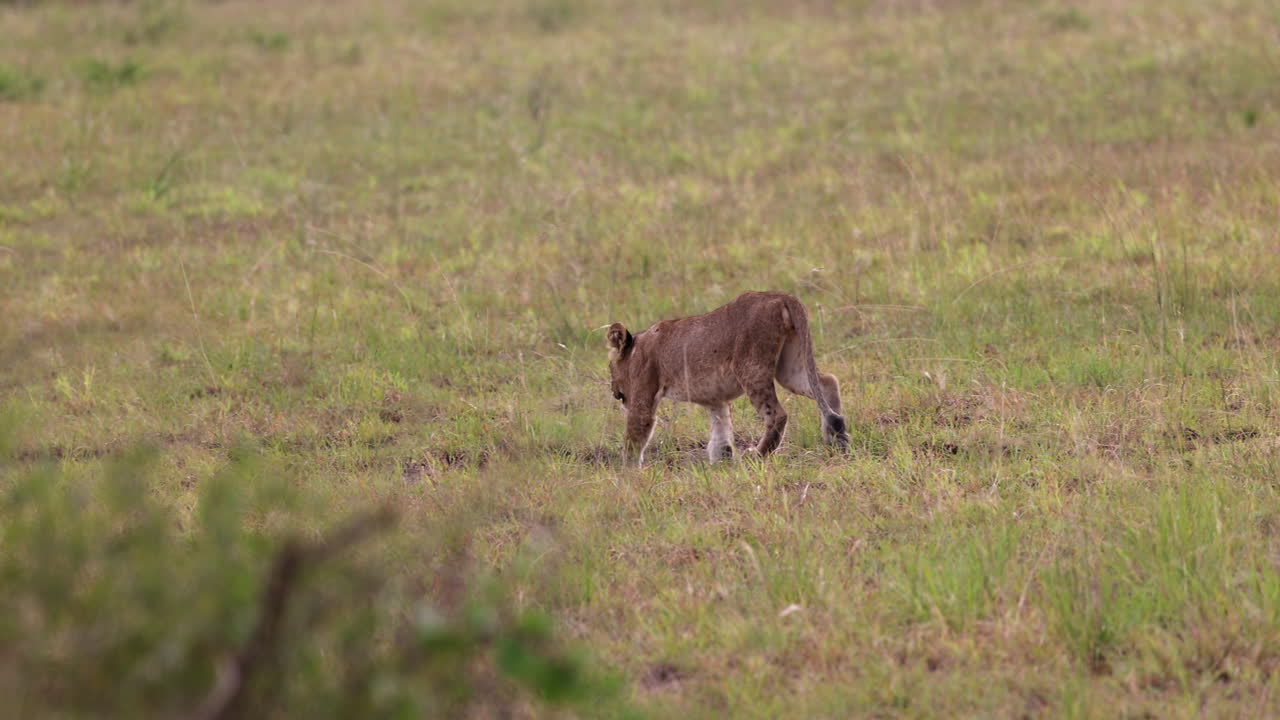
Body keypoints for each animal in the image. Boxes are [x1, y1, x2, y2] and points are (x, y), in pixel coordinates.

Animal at [606, 291, 849, 466]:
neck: (636, 347)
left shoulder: (643, 395)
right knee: (828, 382)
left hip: (751, 369)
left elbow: (635, 435)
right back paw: (837, 440)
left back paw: (757, 454)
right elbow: (720, 431)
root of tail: (780, 296)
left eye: (609, 368)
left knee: (777, 415)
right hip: (790, 368)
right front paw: (720, 462)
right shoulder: (716, 400)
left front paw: (627, 473)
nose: (613, 392)